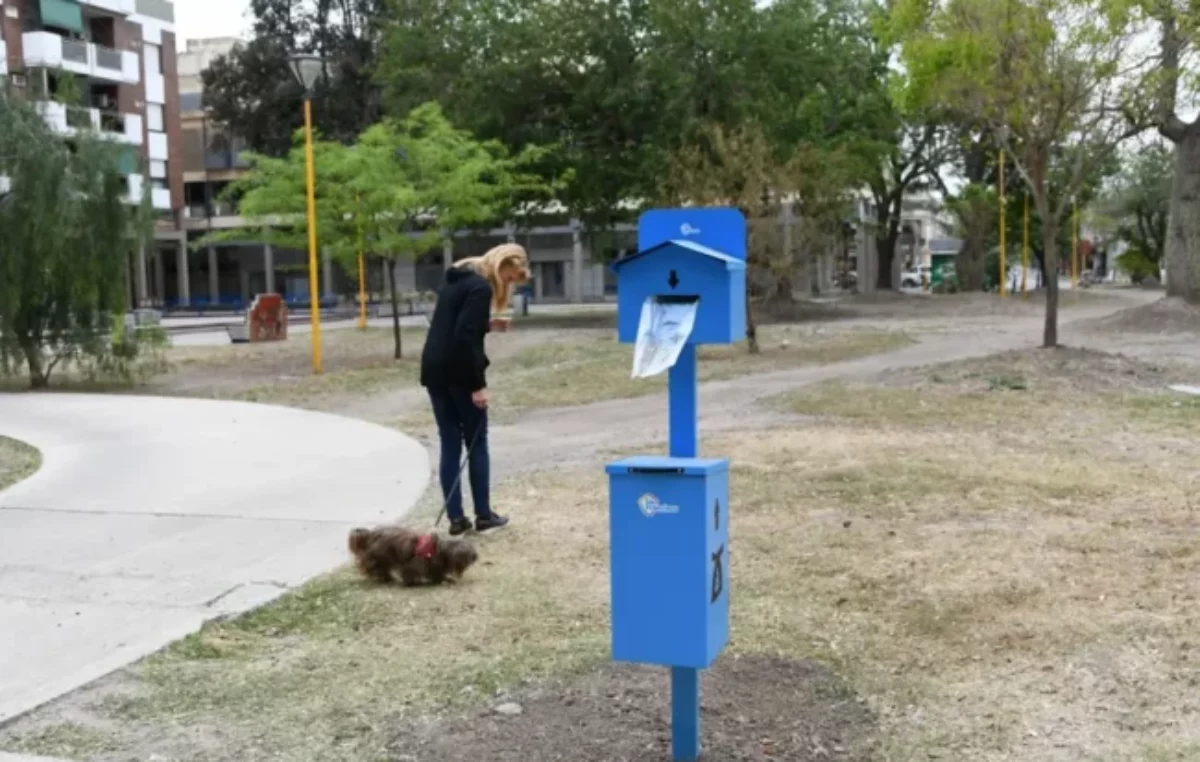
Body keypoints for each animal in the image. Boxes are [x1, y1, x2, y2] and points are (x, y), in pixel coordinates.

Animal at [348, 528, 477, 588]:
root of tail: (370, 534)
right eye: (469, 553)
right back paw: (387, 578)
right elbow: (411, 572)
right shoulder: (416, 563)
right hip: (380, 556)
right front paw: (410, 582)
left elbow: (437, 573)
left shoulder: (434, 565)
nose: (476, 556)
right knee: (378, 568)